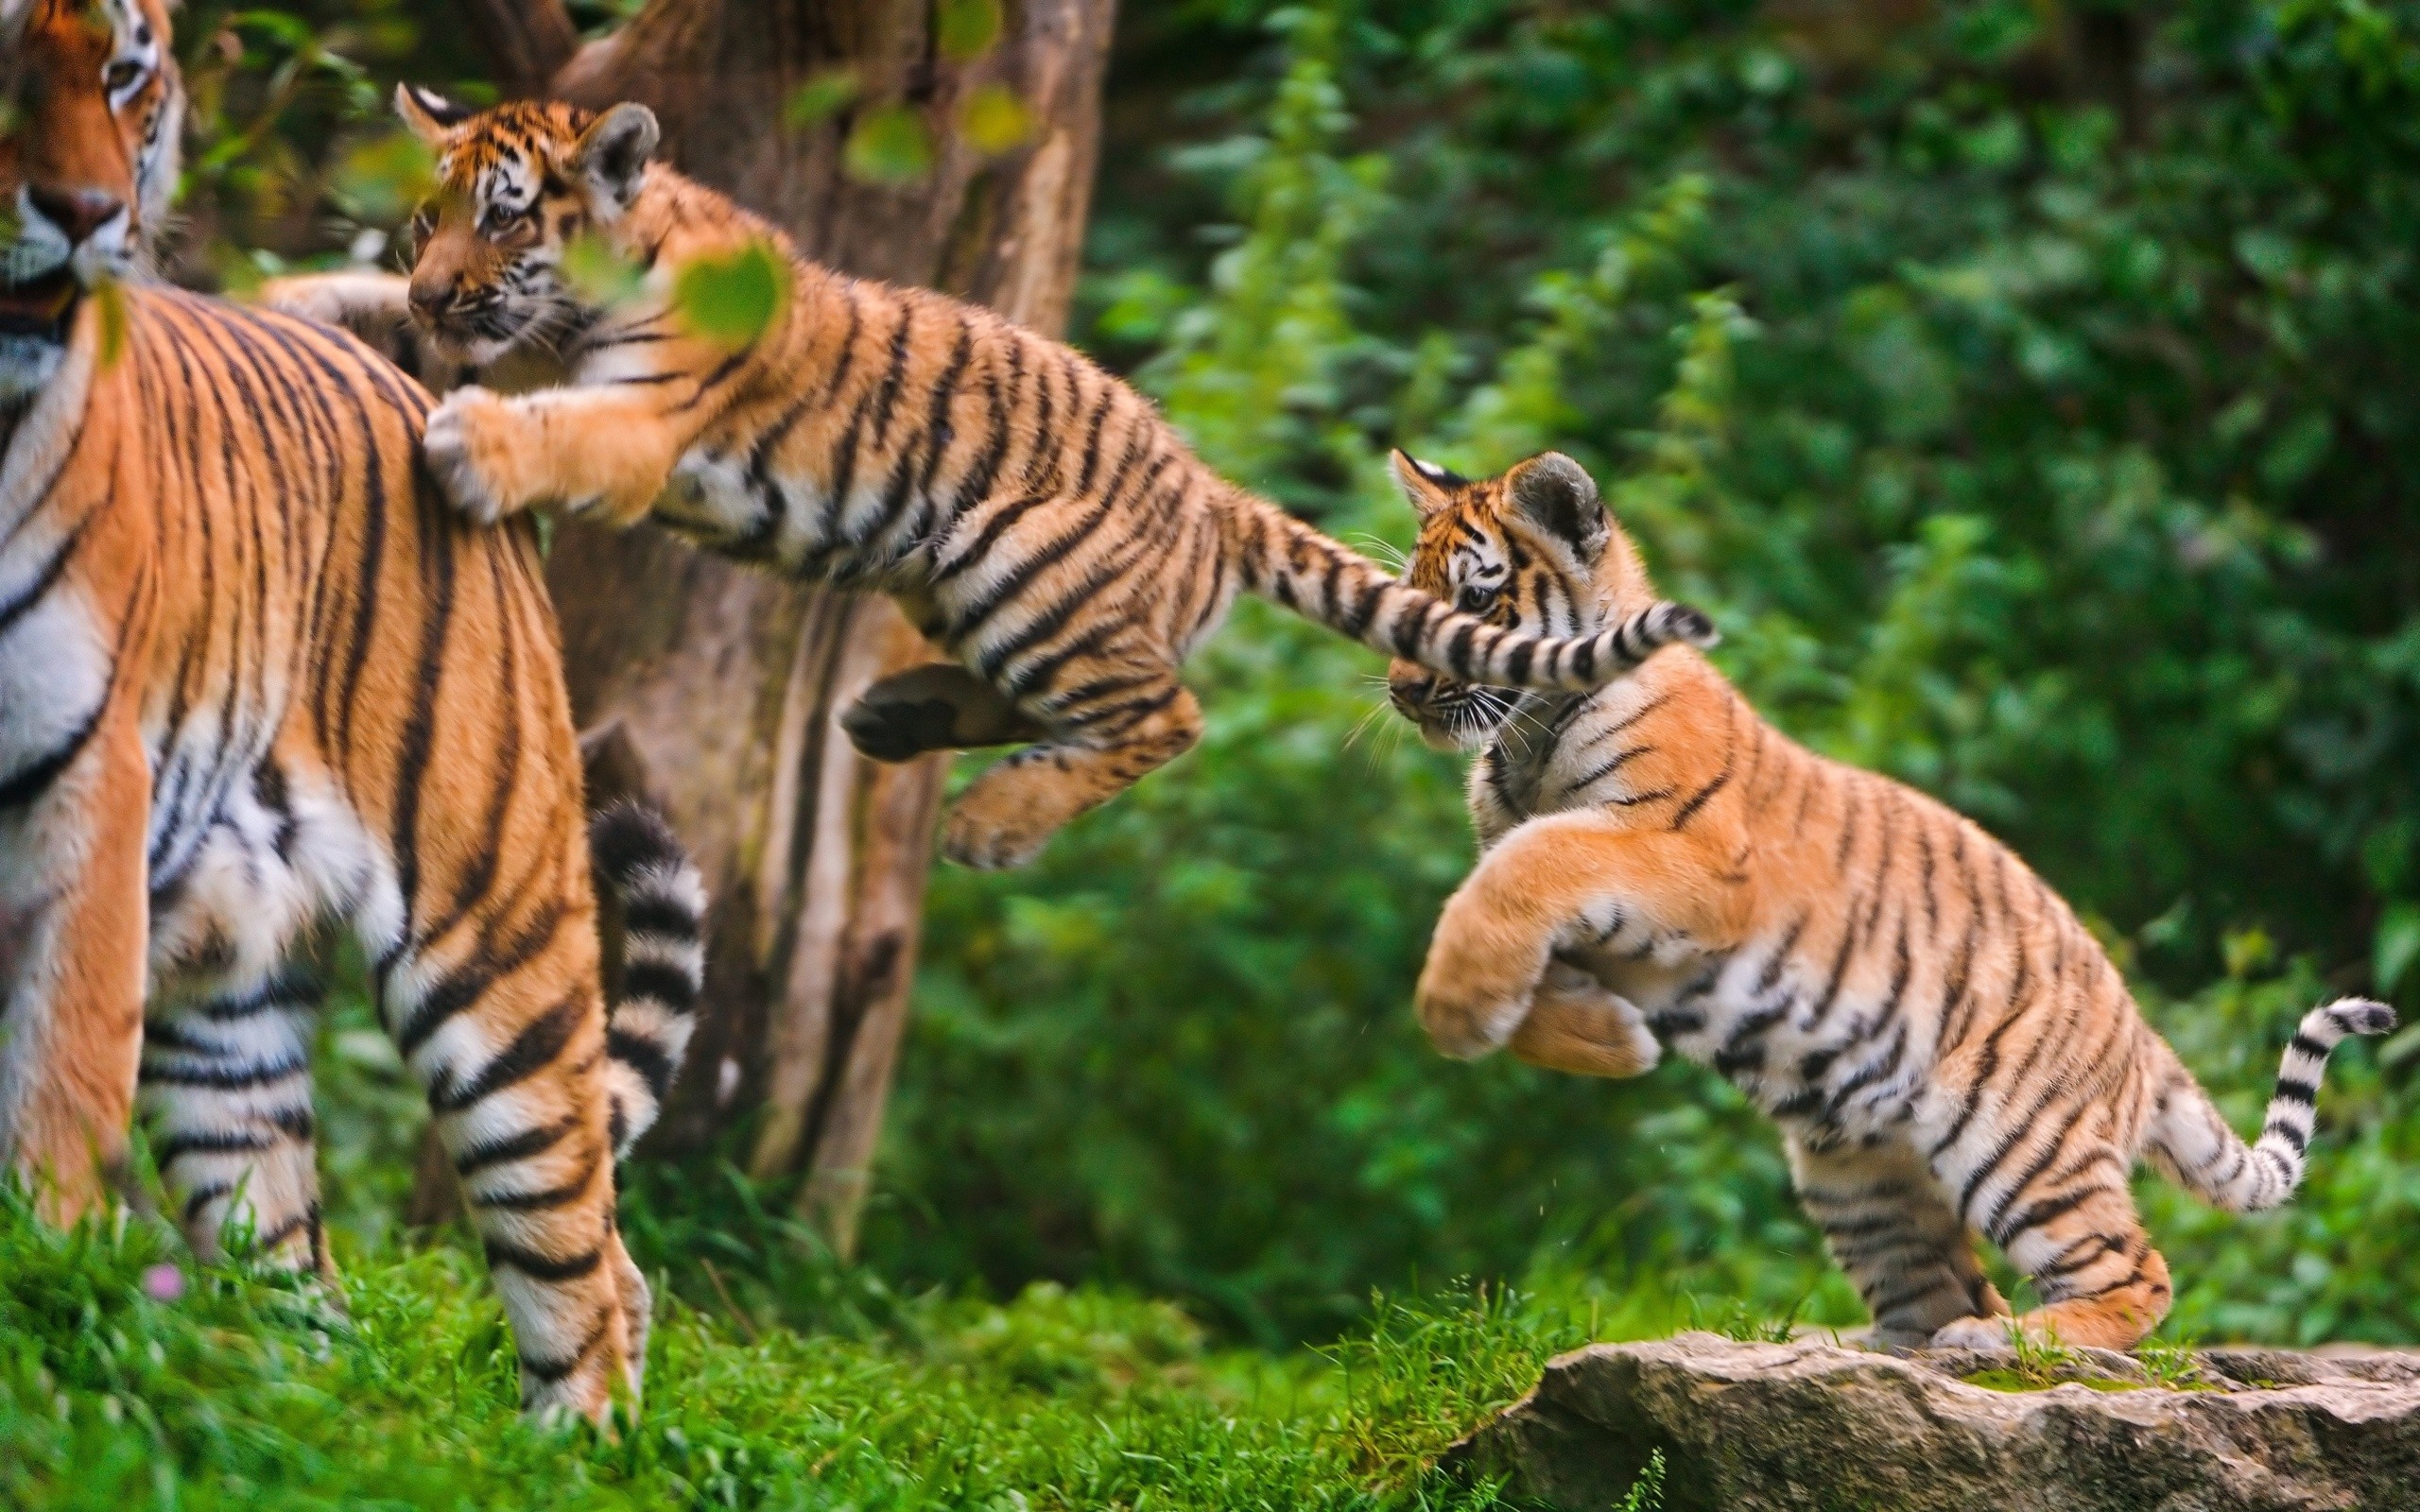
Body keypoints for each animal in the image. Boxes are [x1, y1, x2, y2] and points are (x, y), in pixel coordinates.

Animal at [0, 0, 701, 1422]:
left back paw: (570, 1444)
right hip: (224, 1001)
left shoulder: (80, 789)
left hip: (492, 928)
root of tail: (427, 389)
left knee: (582, 1249)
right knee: (298, 1270)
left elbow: (53, 1108)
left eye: (126, 71)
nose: (84, 214)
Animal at [269, 94, 1722, 866]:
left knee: (1163, 713)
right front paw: (292, 296)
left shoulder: (641, 418)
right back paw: (897, 714)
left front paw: (473, 445)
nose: (439, 289)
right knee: (1075, 699)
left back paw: (990, 822)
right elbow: (357, 310)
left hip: (1014, 563)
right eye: (426, 218)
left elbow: (556, 430)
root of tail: (1207, 490)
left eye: (506, 215)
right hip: (950, 580)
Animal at [1393, 445, 2391, 1345]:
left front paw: (1460, 1008)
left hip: (2016, 1139)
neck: (1523, 747)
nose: (1403, 691)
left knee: (2134, 1274)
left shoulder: (1693, 864)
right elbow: (1521, 938)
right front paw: (1601, 1037)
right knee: (1945, 1287)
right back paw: (1864, 1348)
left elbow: (1529, 861)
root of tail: (2142, 1038)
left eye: (1475, 600)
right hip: (1855, 1174)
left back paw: (2015, 1343)